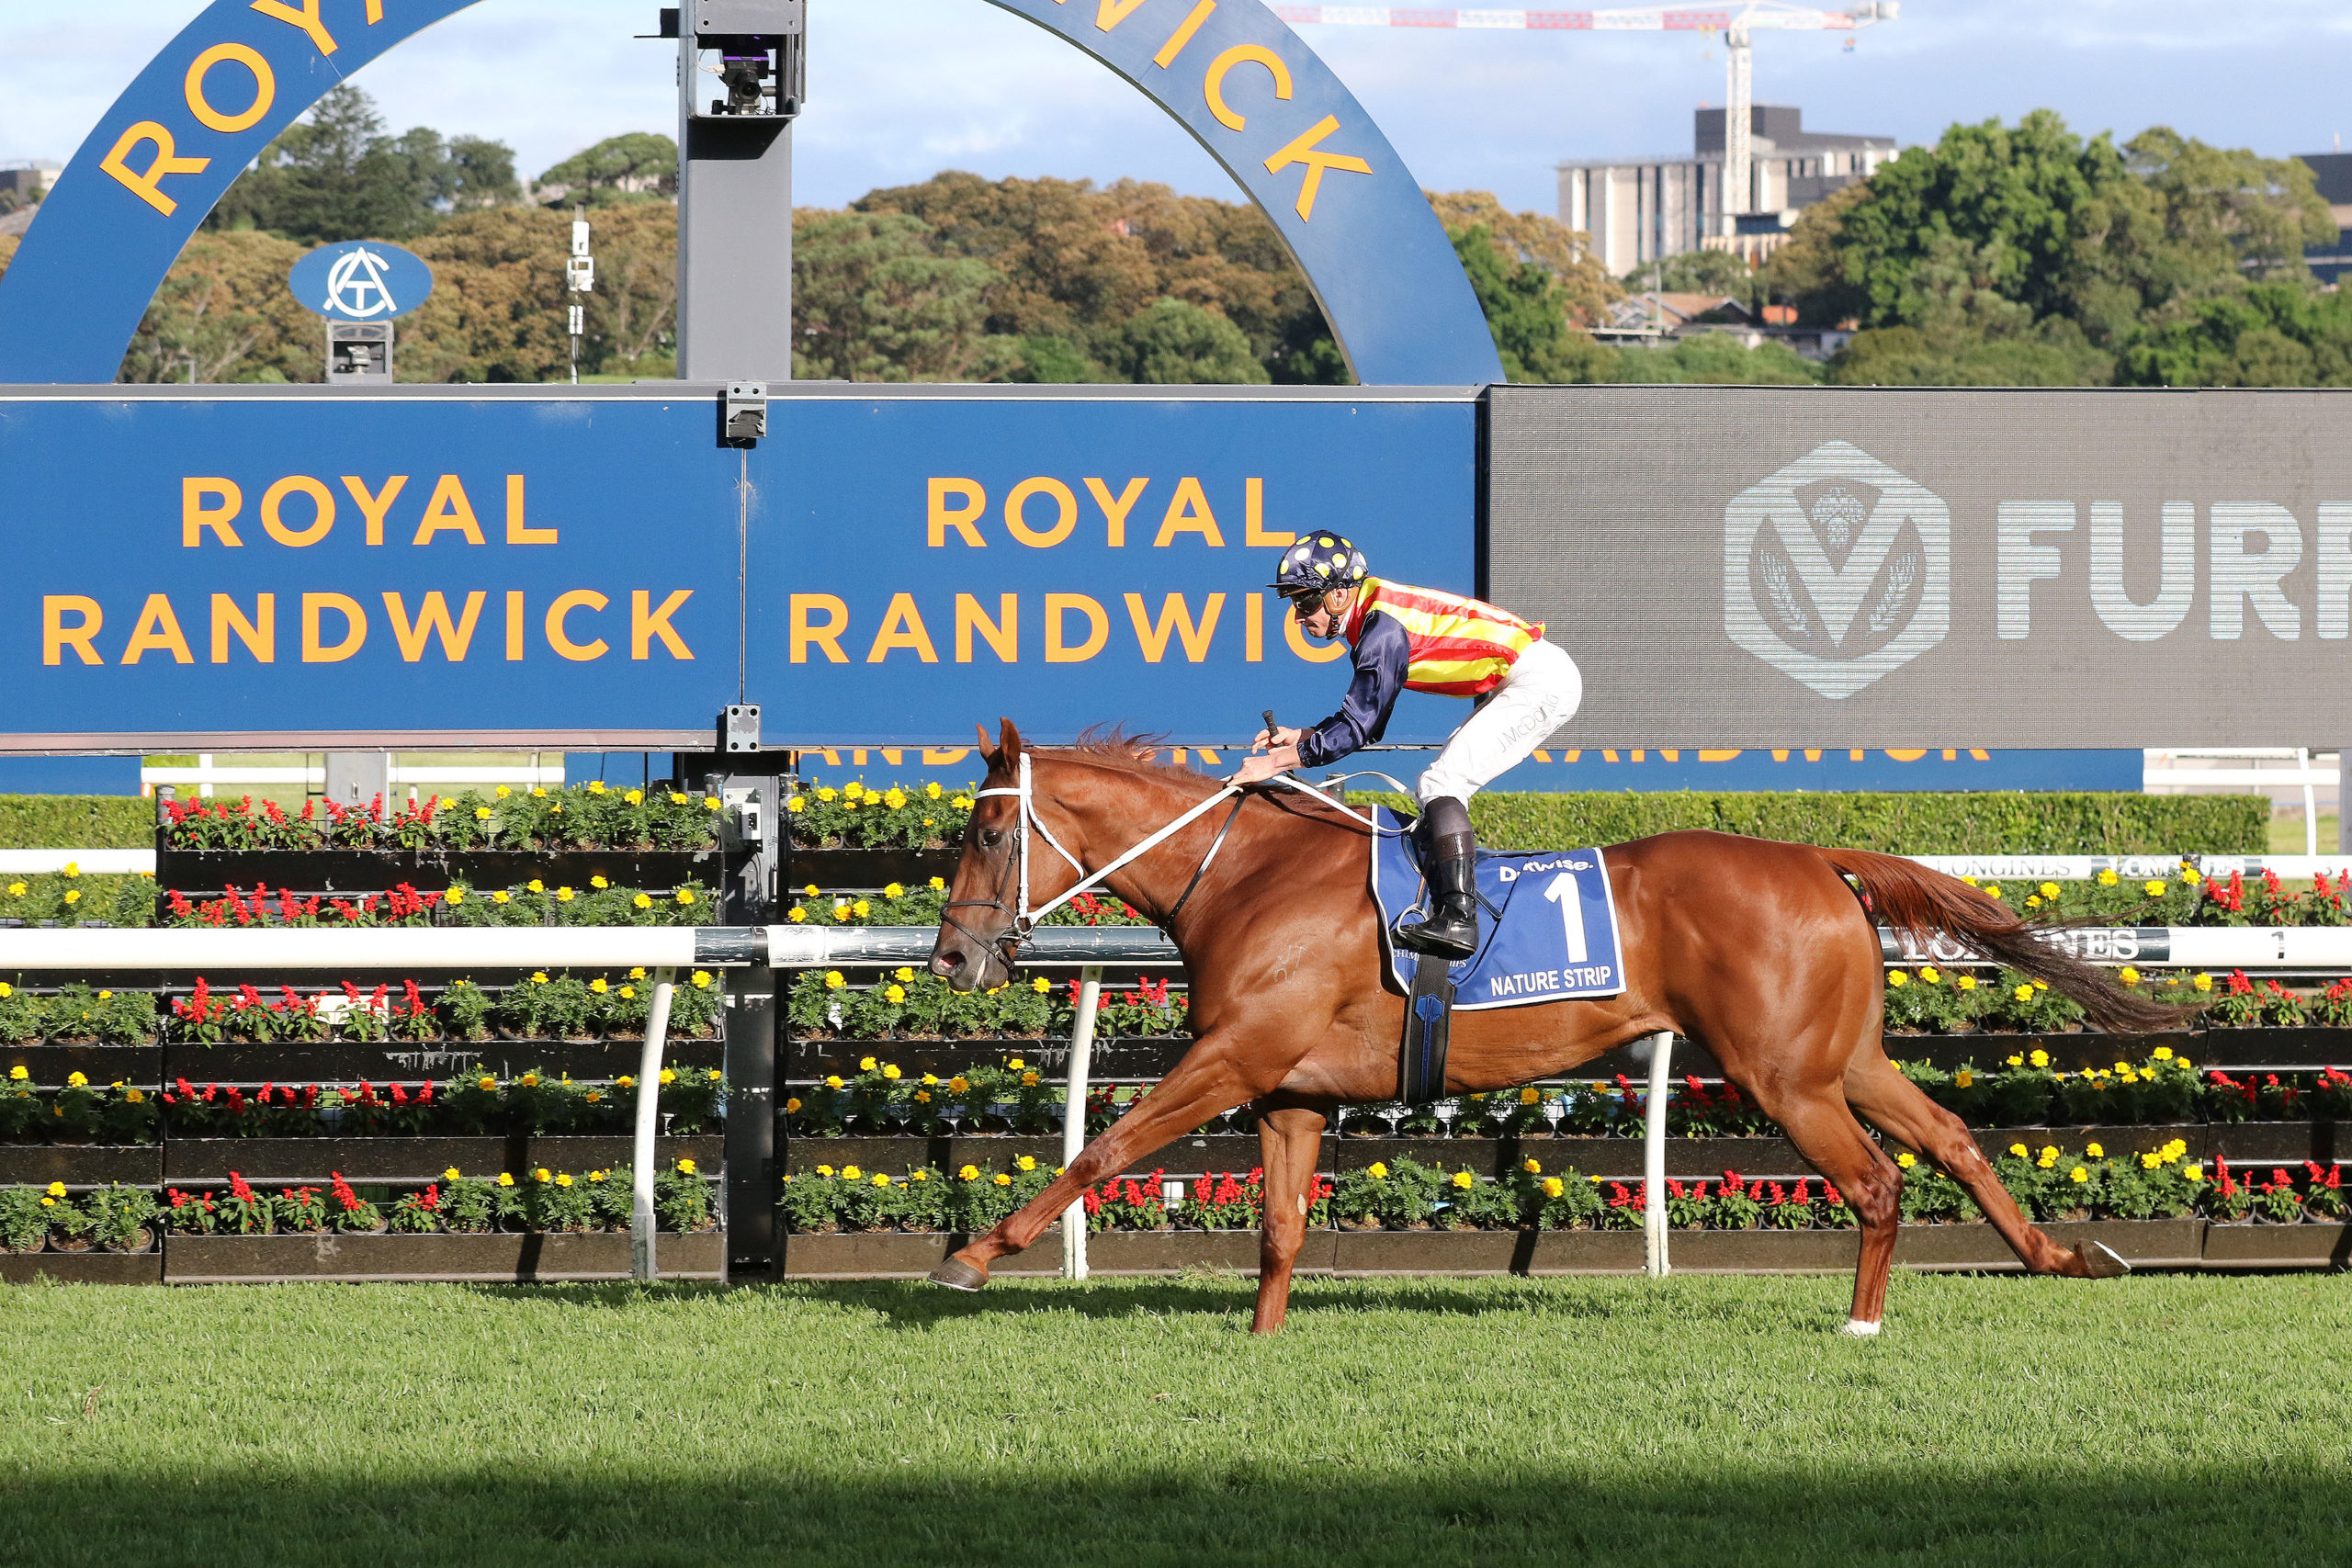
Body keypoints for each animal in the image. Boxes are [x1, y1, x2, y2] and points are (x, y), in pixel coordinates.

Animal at [924, 721, 2175, 1335]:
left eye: (984, 837)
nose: (949, 959)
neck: (1247, 876)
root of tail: (1817, 853)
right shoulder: (1289, 1089)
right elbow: (1279, 1227)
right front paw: (1263, 1340)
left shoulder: (1232, 1057)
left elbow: (1102, 1148)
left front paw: (973, 1257)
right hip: (1840, 1058)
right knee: (1953, 1140)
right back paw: (2063, 1255)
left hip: (1783, 1076)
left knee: (1875, 1180)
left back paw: (1862, 1324)